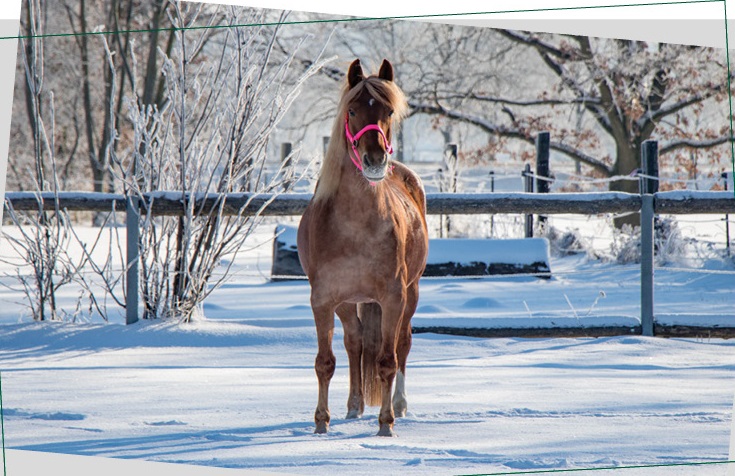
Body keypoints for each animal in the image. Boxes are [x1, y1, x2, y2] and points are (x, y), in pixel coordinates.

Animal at [296, 58, 428, 436]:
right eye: (352, 110)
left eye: (389, 111)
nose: (374, 161)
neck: (355, 228)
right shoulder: (323, 299)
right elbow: (325, 362)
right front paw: (321, 423)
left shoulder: (394, 297)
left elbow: (387, 360)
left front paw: (386, 424)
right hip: (347, 302)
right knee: (354, 341)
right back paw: (354, 406)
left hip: (411, 293)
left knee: (402, 343)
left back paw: (399, 404)